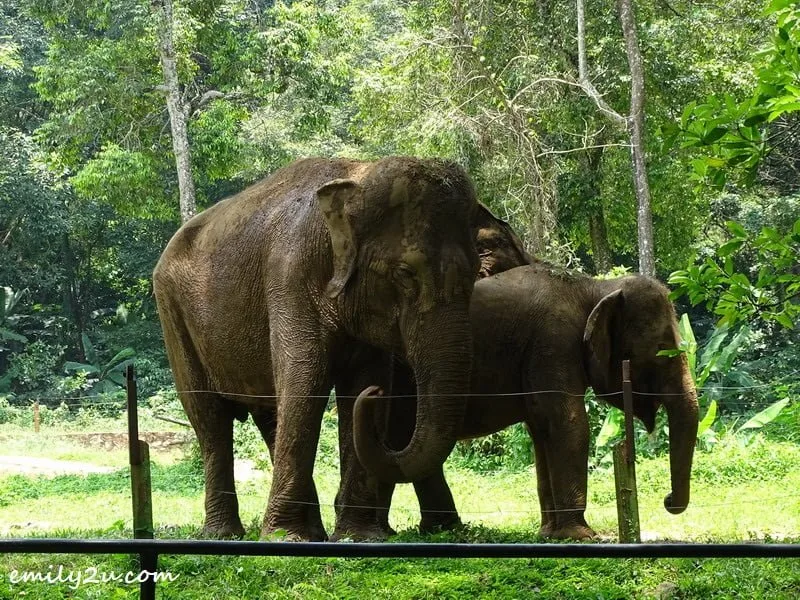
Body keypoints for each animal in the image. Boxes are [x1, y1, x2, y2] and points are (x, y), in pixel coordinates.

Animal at [153, 156, 485, 542]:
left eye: (476, 272)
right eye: (405, 273)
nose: (375, 396)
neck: (358, 176)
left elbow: (361, 383)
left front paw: (359, 536)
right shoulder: (289, 275)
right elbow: (305, 382)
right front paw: (283, 537)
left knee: (269, 415)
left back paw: (310, 531)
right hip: (173, 315)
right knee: (210, 419)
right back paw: (225, 535)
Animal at [355, 262, 699, 540]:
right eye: (662, 350)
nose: (668, 500)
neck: (593, 286)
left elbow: (541, 430)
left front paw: (549, 533)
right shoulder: (553, 341)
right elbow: (569, 425)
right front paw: (580, 536)